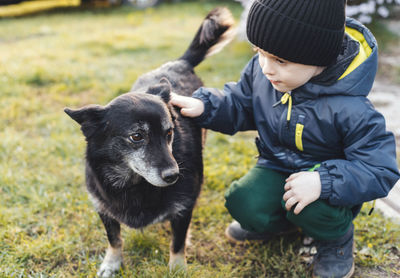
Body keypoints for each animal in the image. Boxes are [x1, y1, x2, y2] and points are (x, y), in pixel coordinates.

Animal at [64, 7, 236, 276]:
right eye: (137, 136)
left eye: (169, 133)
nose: (173, 175)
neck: (132, 183)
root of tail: (179, 62)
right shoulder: (103, 208)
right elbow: (114, 239)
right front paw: (111, 263)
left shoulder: (184, 206)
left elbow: (177, 242)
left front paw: (178, 268)